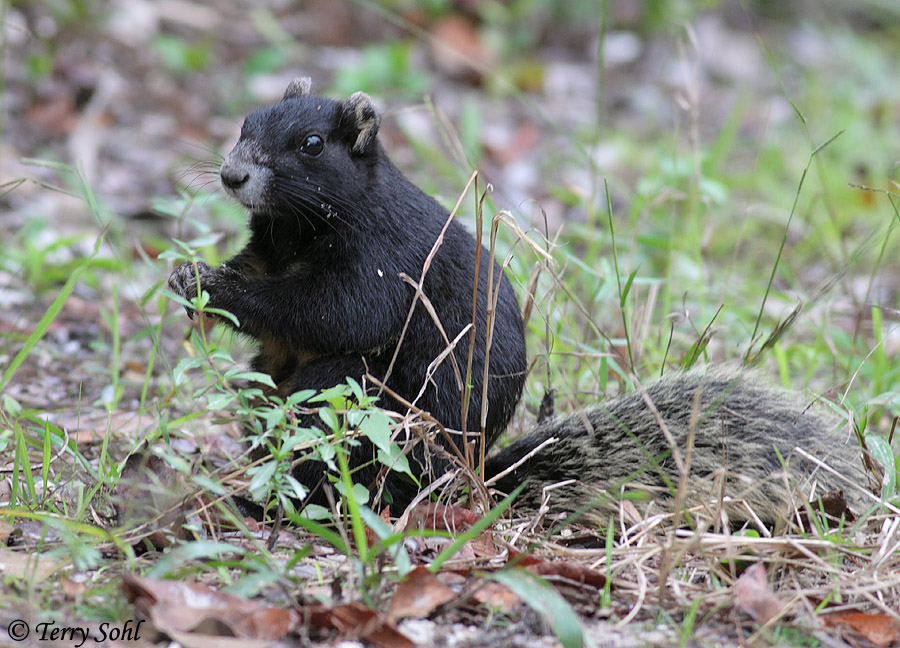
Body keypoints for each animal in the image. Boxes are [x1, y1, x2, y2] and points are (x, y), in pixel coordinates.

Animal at [169, 78, 868, 527]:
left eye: (311, 145)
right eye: (245, 123)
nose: (231, 174)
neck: (295, 230)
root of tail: (469, 482)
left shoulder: (386, 263)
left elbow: (336, 314)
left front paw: (219, 288)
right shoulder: (269, 247)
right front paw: (189, 277)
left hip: (361, 408)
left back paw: (271, 506)